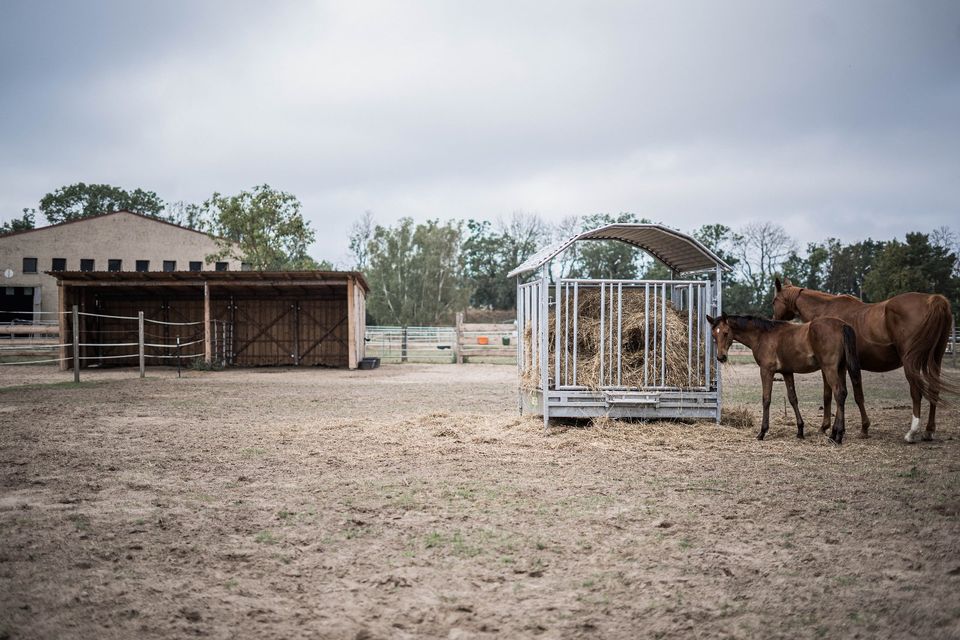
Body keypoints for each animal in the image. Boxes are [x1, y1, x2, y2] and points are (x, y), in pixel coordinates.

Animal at [700, 312, 868, 442]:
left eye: (726, 333)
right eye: (714, 334)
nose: (721, 357)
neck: (763, 335)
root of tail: (842, 325)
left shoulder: (766, 371)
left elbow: (766, 399)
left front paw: (762, 432)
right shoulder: (787, 372)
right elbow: (793, 399)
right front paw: (800, 431)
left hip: (829, 369)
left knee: (839, 393)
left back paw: (837, 436)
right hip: (840, 369)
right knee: (843, 393)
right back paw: (837, 433)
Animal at [772, 278, 952, 442]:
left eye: (774, 301)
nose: (774, 320)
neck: (826, 311)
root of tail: (933, 300)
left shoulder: (832, 367)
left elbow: (831, 394)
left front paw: (827, 427)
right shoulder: (846, 366)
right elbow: (855, 394)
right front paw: (860, 428)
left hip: (911, 364)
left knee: (916, 393)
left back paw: (912, 432)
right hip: (936, 360)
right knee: (934, 389)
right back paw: (929, 431)